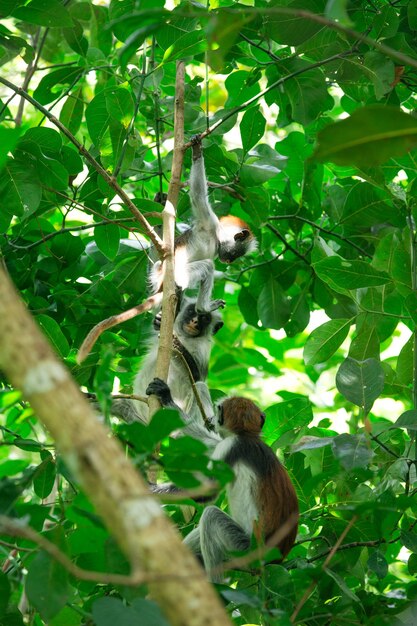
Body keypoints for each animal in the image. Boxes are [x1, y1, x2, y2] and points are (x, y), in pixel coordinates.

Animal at [145, 376, 298, 580]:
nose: (211, 419)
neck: (246, 436)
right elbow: (211, 444)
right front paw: (165, 397)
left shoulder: (230, 447)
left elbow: (208, 491)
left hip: (245, 550)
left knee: (211, 517)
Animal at [148, 135, 255, 312]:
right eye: (235, 254)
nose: (229, 261)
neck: (216, 237)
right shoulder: (208, 220)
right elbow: (198, 195)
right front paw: (197, 152)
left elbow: (160, 250)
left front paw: (161, 201)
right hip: (178, 273)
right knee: (208, 266)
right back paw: (202, 308)